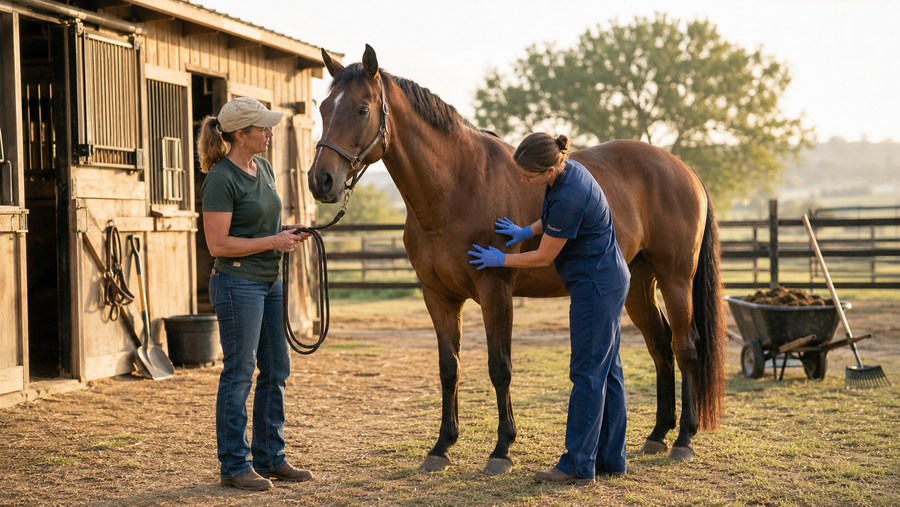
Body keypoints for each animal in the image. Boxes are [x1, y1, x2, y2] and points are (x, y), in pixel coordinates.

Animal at [308, 45, 727, 474]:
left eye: (362, 109)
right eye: (322, 108)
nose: (321, 181)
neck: (455, 187)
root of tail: (684, 169)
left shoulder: (495, 291)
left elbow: (500, 367)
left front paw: (501, 449)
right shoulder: (438, 297)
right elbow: (448, 369)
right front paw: (441, 447)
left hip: (675, 279)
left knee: (686, 347)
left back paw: (684, 438)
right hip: (638, 284)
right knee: (660, 346)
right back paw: (658, 434)